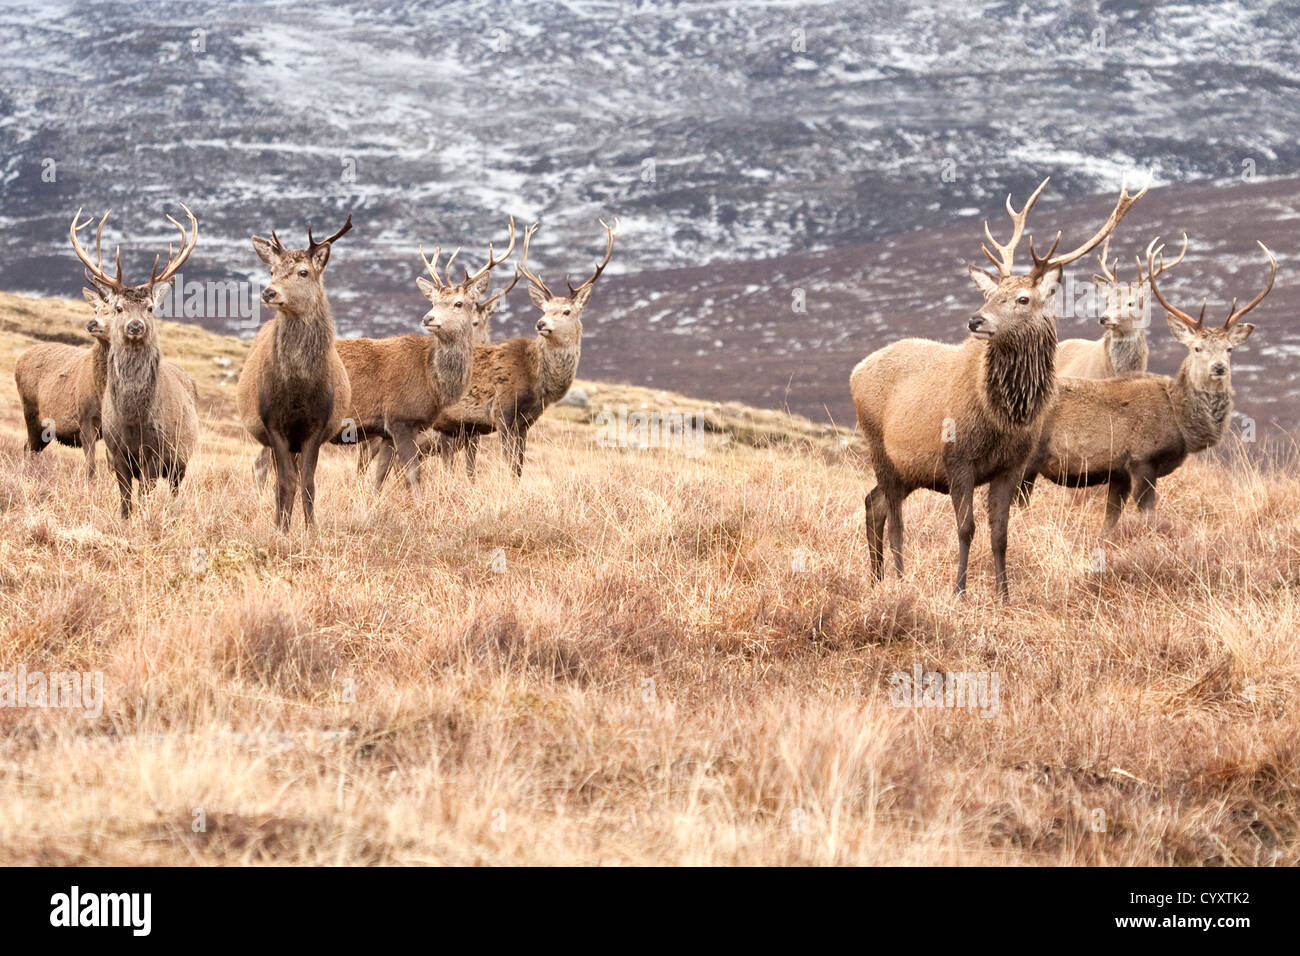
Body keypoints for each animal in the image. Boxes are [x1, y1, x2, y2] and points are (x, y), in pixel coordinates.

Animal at [70, 205, 201, 518]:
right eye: (119, 308)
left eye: (150, 308)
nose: (135, 326)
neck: (133, 419)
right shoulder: (115, 450)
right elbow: (125, 500)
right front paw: (126, 520)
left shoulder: (157, 451)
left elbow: (145, 493)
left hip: (181, 457)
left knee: (175, 489)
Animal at [236, 214, 354, 531]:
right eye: (272, 269)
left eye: (303, 272)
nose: (269, 292)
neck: (299, 389)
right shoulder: (272, 422)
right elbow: (285, 483)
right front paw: (282, 529)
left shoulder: (318, 425)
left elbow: (308, 483)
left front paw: (311, 530)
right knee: (274, 476)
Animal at [849, 177, 1148, 601]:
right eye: (990, 295)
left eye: (1023, 298)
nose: (976, 320)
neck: (1003, 417)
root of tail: (856, 371)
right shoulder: (956, 458)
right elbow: (965, 528)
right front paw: (959, 591)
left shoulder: (1012, 465)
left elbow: (1001, 533)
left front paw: (1003, 595)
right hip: (880, 450)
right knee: (894, 519)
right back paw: (900, 580)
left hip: (910, 469)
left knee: (873, 502)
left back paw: (876, 578)